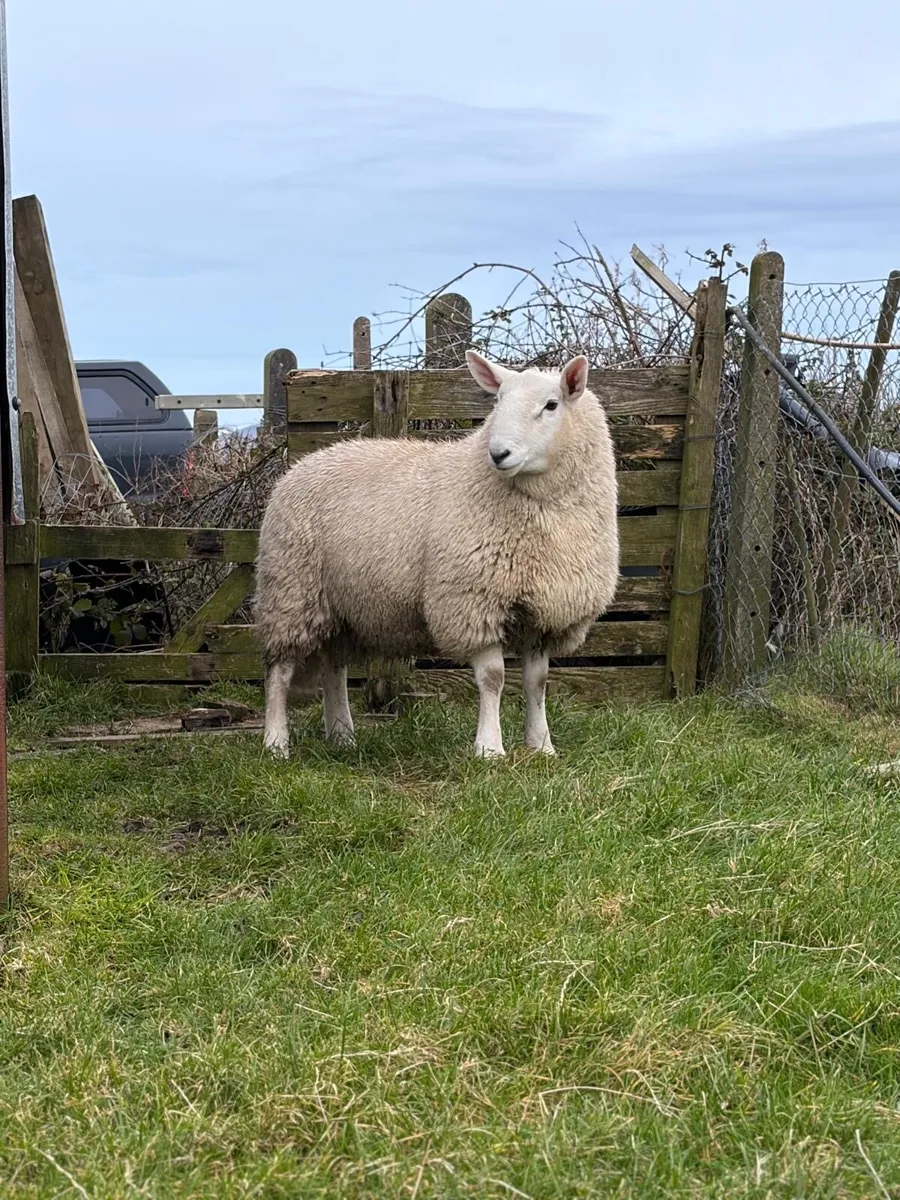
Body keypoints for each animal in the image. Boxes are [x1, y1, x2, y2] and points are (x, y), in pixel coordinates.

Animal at [255, 350, 619, 758]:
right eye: (498, 400)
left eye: (551, 405)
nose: (499, 454)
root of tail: (305, 463)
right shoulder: (472, 601)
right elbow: (493, 678)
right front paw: (489, 749)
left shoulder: (546, 613)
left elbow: (537, 682)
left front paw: (542, 745)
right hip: (291, 590)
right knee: (279, 671)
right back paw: (276, 743)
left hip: (341, 604)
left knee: (334, 668)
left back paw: (342, 736)